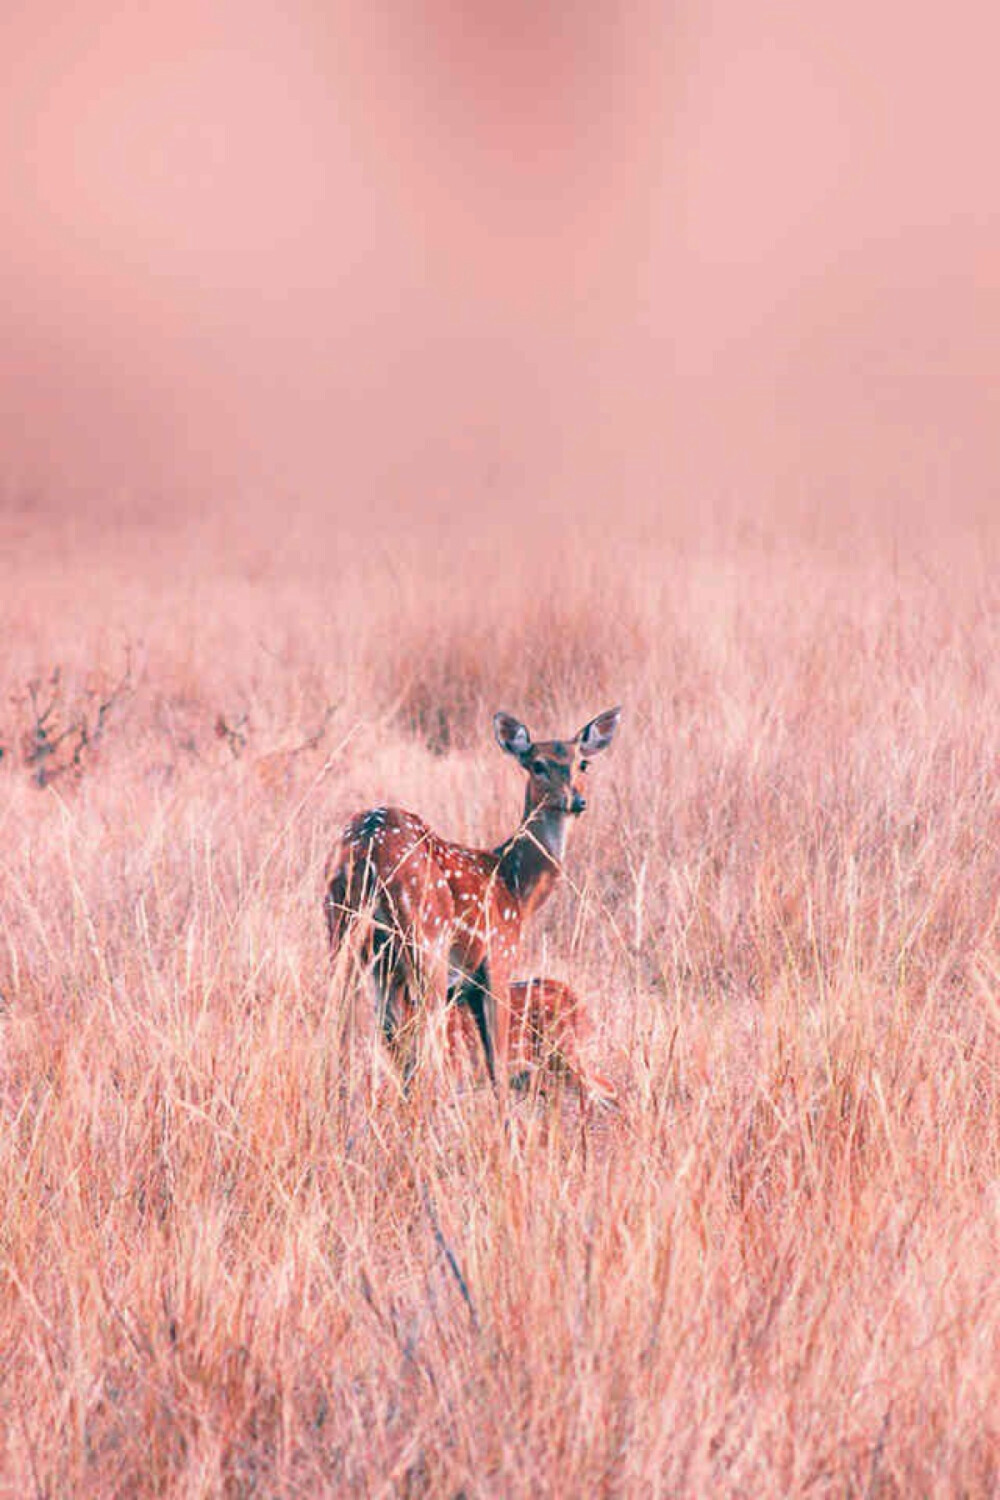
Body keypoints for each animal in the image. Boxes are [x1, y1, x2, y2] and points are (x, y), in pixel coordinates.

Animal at [325, 702, 620, 1092]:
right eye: (537, 765)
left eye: (582, 763)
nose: (576, 800)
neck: (516, 886)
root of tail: (367, 844)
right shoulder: (499, 955)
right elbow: (497, 1062)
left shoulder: (463, 983)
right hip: (425, 937)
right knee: (424, 1038)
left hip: (343, 929)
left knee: (345, 1015)